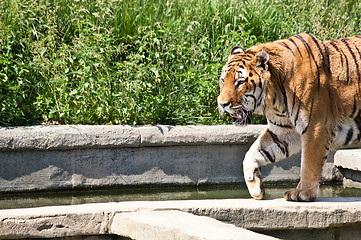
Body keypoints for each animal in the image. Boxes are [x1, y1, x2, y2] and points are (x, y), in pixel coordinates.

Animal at [217, 33, 360, 202]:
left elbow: (309, 163)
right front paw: (255, 187)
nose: (222, 104)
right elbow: (253, 152)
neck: (275, 100)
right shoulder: (284, 131)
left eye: (239, 82)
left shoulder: (316, 127)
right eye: (223, 80)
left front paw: (303, 193)